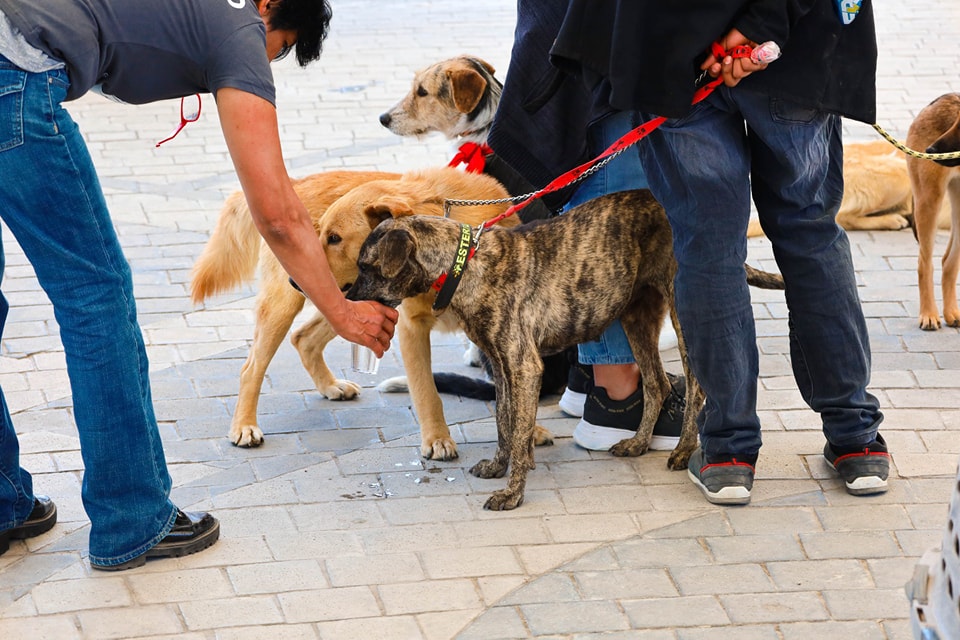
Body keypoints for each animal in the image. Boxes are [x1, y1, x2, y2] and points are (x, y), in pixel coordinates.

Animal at [192, 170, 524, 450]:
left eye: (335, 238)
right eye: (321, 234)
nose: (294, 279)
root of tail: (297, 182)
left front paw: (528, 435)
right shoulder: (411, 327)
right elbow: (426, 391)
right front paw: (437, 439)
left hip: (343, 300)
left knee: (303, 338)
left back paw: (330, 386)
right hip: (285, 306)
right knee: (251, 369)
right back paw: (244, 426)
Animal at [348, 189, 784, 510]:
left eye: (368, 267)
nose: (346, 299)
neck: (465, 264)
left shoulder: (524, 367)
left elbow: (518, 430)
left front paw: (514, 492)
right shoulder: (503, 367)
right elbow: (504, 422)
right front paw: (499, 466)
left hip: (684, 315)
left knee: (695, 388)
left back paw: (682, 450)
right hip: (636, 317)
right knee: (657, 384)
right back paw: (639, 443)